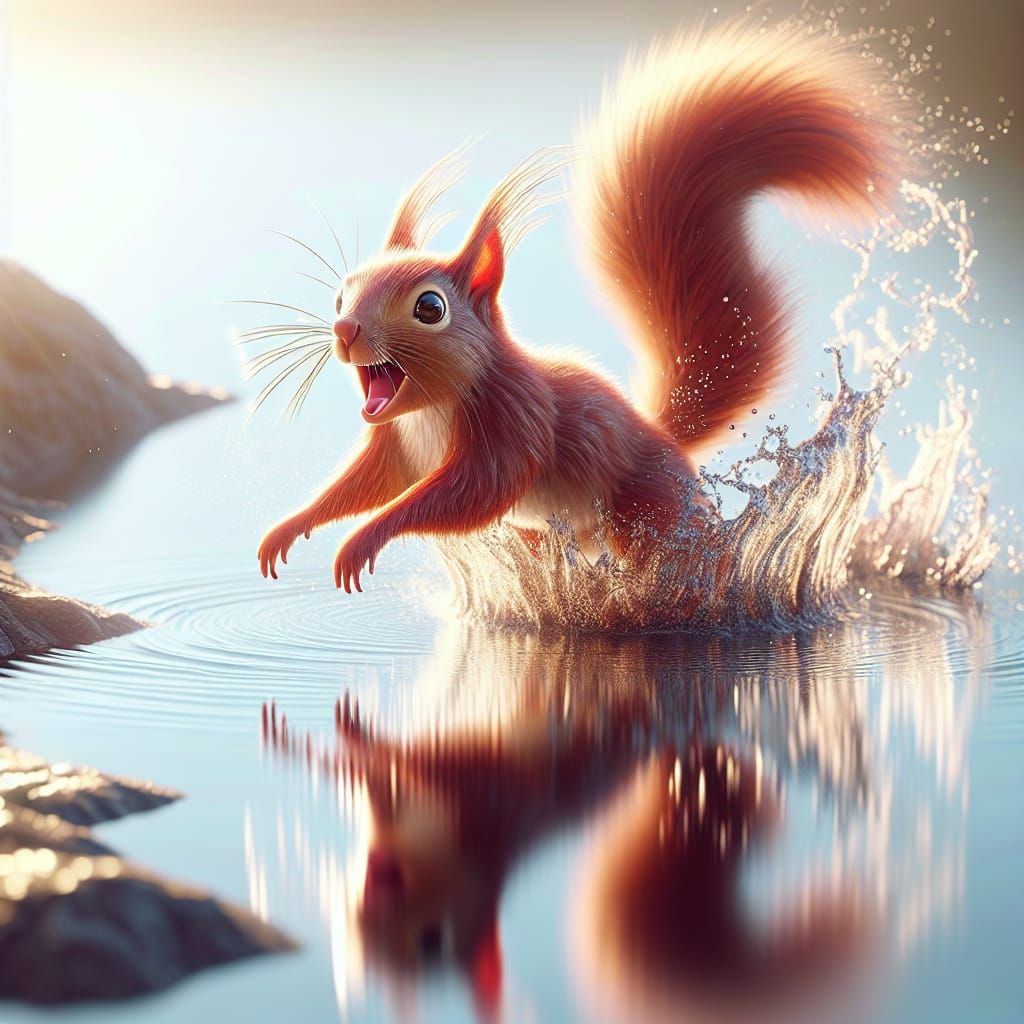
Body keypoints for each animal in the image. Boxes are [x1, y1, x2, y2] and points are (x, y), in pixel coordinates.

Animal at [258, 21, 893, 592]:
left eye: (430, 308)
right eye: (340, 293)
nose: (344, 328)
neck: (431, 411)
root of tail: (663, 442)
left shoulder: (515, 420)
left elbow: (473, 494)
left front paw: (364, 539)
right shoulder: (400, 444)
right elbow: (370, 481)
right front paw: (290, 526)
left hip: (647, 511)